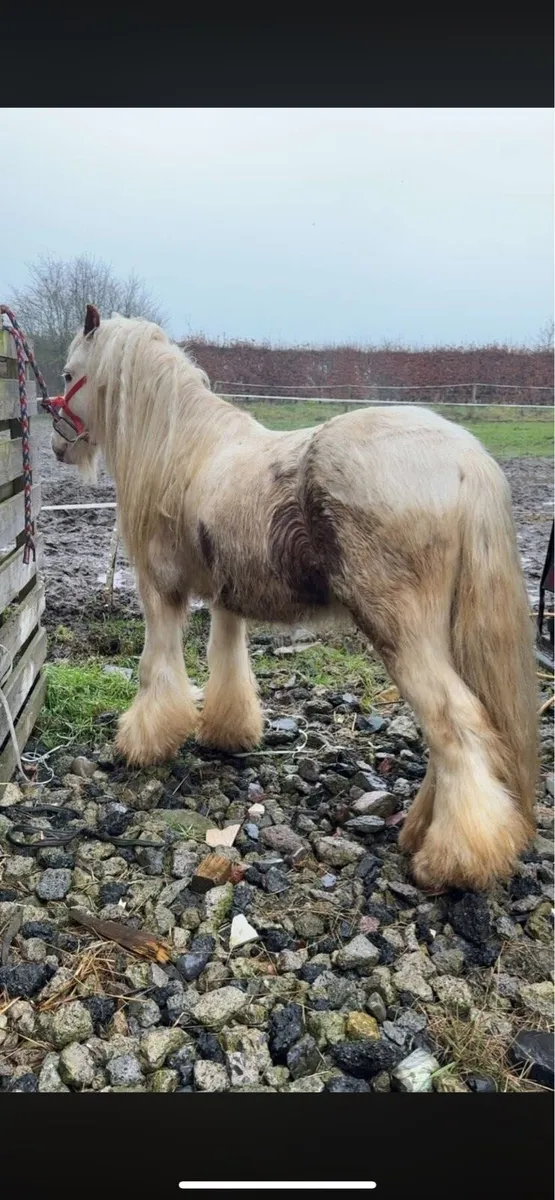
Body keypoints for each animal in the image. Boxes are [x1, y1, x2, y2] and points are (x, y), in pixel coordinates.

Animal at [48, 303, 538, 891]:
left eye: (69, 374)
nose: (56, 445)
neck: (184, 448)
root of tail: (466, 460)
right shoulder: (227, 598)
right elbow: (228, 663)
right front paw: (227, 733)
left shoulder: (161, 594)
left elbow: (155, 670)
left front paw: (141, 744)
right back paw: (422, 830)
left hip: (402, 632)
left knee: (455, 725)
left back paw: (455, 858)